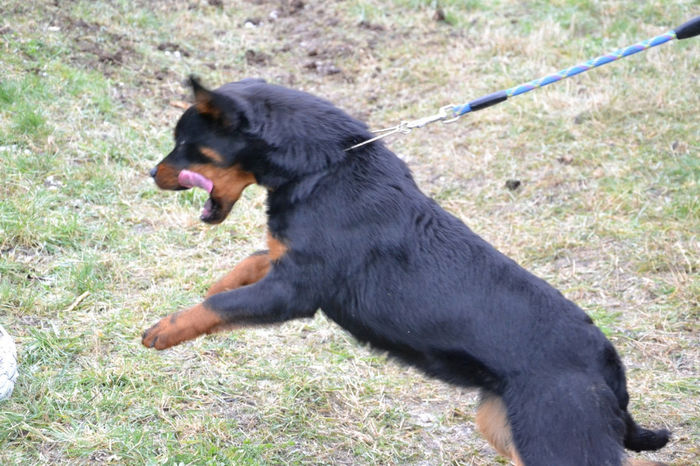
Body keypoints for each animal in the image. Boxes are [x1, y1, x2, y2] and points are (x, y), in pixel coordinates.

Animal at [144, 78, 672, 464]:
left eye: (185, 144)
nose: (152, 173)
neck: (326, 165)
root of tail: (609, 367)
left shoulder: (294, 290)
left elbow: (219, 305)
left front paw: (163, 331)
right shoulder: (288, 265)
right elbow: (250, 261)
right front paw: (217, 280)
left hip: (557, 437)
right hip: (504, 426)